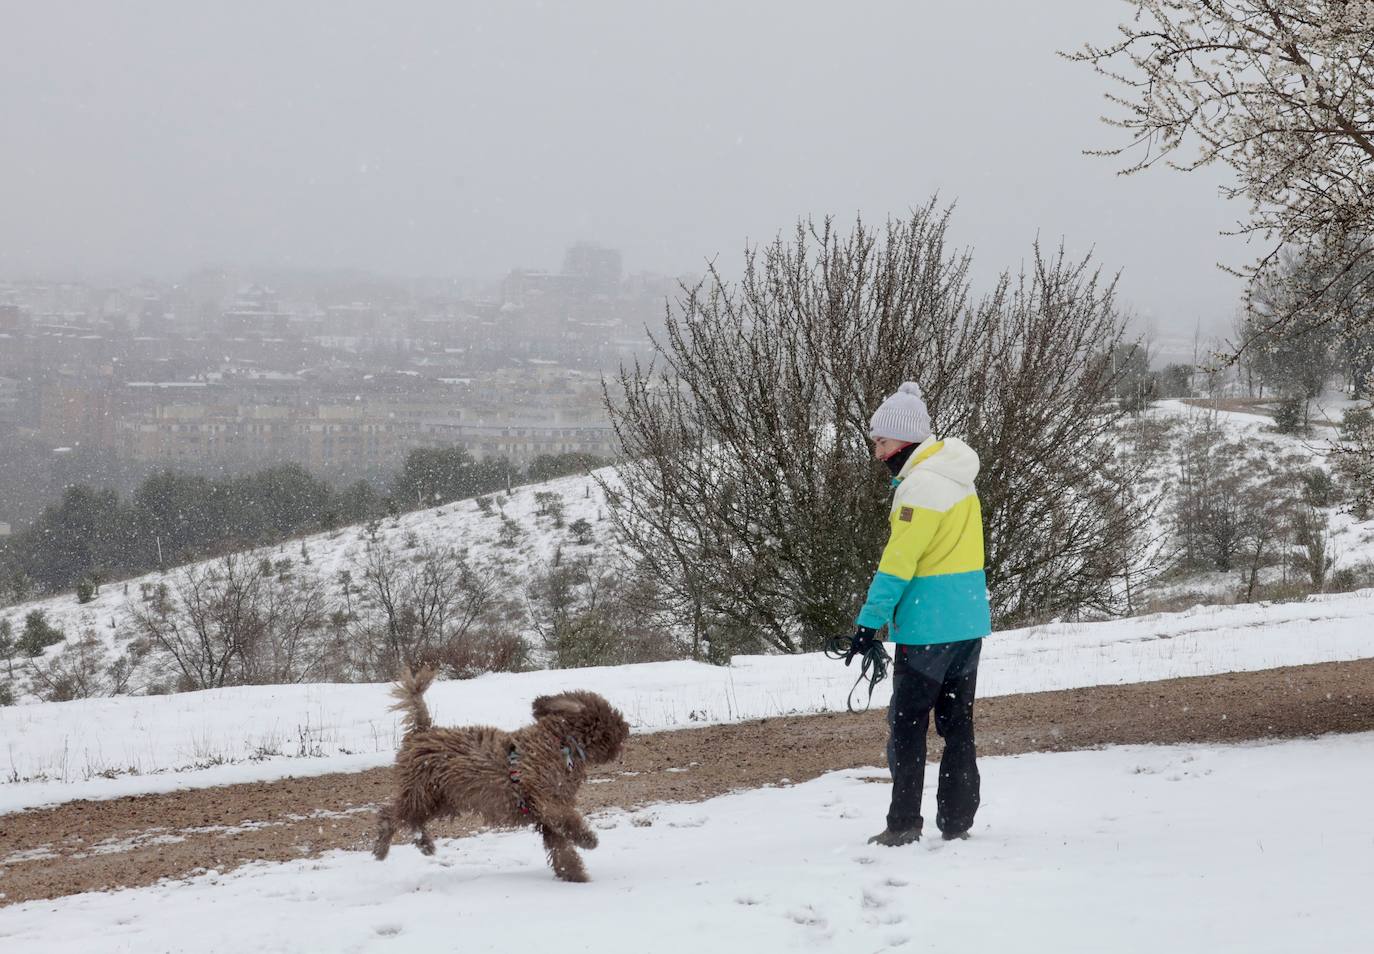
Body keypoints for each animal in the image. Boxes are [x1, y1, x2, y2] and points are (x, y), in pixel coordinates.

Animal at [376, 668, 632, 885]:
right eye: (613, 719)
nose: (627, 728)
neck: (562, 742)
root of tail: (422, 731)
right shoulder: (547, 799)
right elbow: (568, 822)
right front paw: (588, 840)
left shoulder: (546, 816)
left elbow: (562, 850)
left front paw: (576, 877)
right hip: (422, 791)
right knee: (391, 814)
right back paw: (382, 848)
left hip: (442, 798)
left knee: (412, 819)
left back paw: (425, 845)